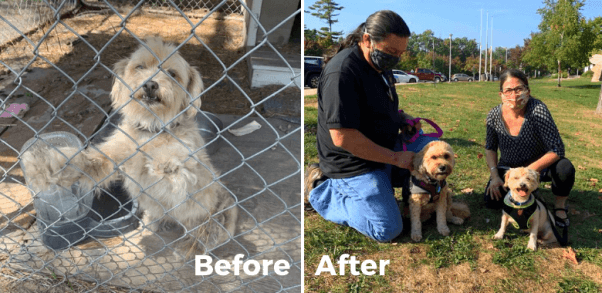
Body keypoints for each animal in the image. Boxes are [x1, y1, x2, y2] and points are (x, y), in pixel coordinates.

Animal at [23, 37, 239, 256]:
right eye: (140, 67)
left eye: (172, 73)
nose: (151, 84)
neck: (150, 129)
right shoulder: (110, 156)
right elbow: (84, 162)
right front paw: (46, 165)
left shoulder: (188, 176)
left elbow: (176, 161)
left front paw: (165, 158)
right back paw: (152, 222)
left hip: (214, 207)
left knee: (207, 228)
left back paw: (191, 246)